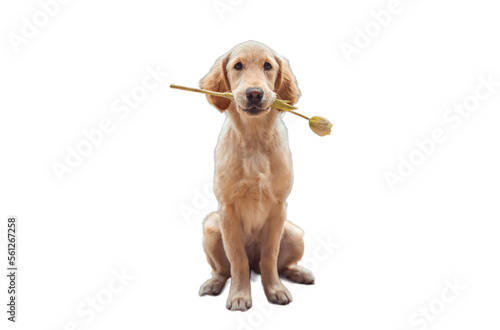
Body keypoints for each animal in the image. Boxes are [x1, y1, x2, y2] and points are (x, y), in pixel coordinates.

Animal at [198, 40, 312, 310]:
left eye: (267, 66)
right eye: (238, 66)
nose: (254, 94)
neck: (254, 139)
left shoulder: (279, 207)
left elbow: (270, 257)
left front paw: (275, 289)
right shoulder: (227, 209)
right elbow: (237, 259)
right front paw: (240, 295)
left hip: (294, 233)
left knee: (279, 265)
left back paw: (299, 272)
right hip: (211, 227)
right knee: (224, 270)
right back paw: (213, 284)